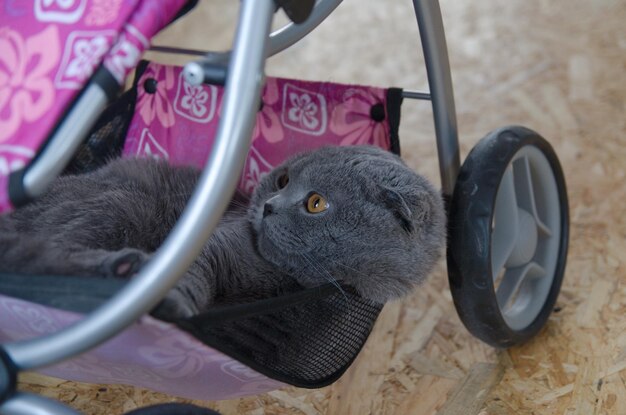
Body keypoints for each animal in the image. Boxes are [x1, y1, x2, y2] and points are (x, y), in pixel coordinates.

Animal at [0, 147, 444, 322]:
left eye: (316, 203)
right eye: (282, 179)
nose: (268, 206)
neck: (283, 280)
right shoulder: (213, 244)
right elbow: (192, 274)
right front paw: (176, 303)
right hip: (121, 204)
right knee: (36, 257)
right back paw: (121, 269)